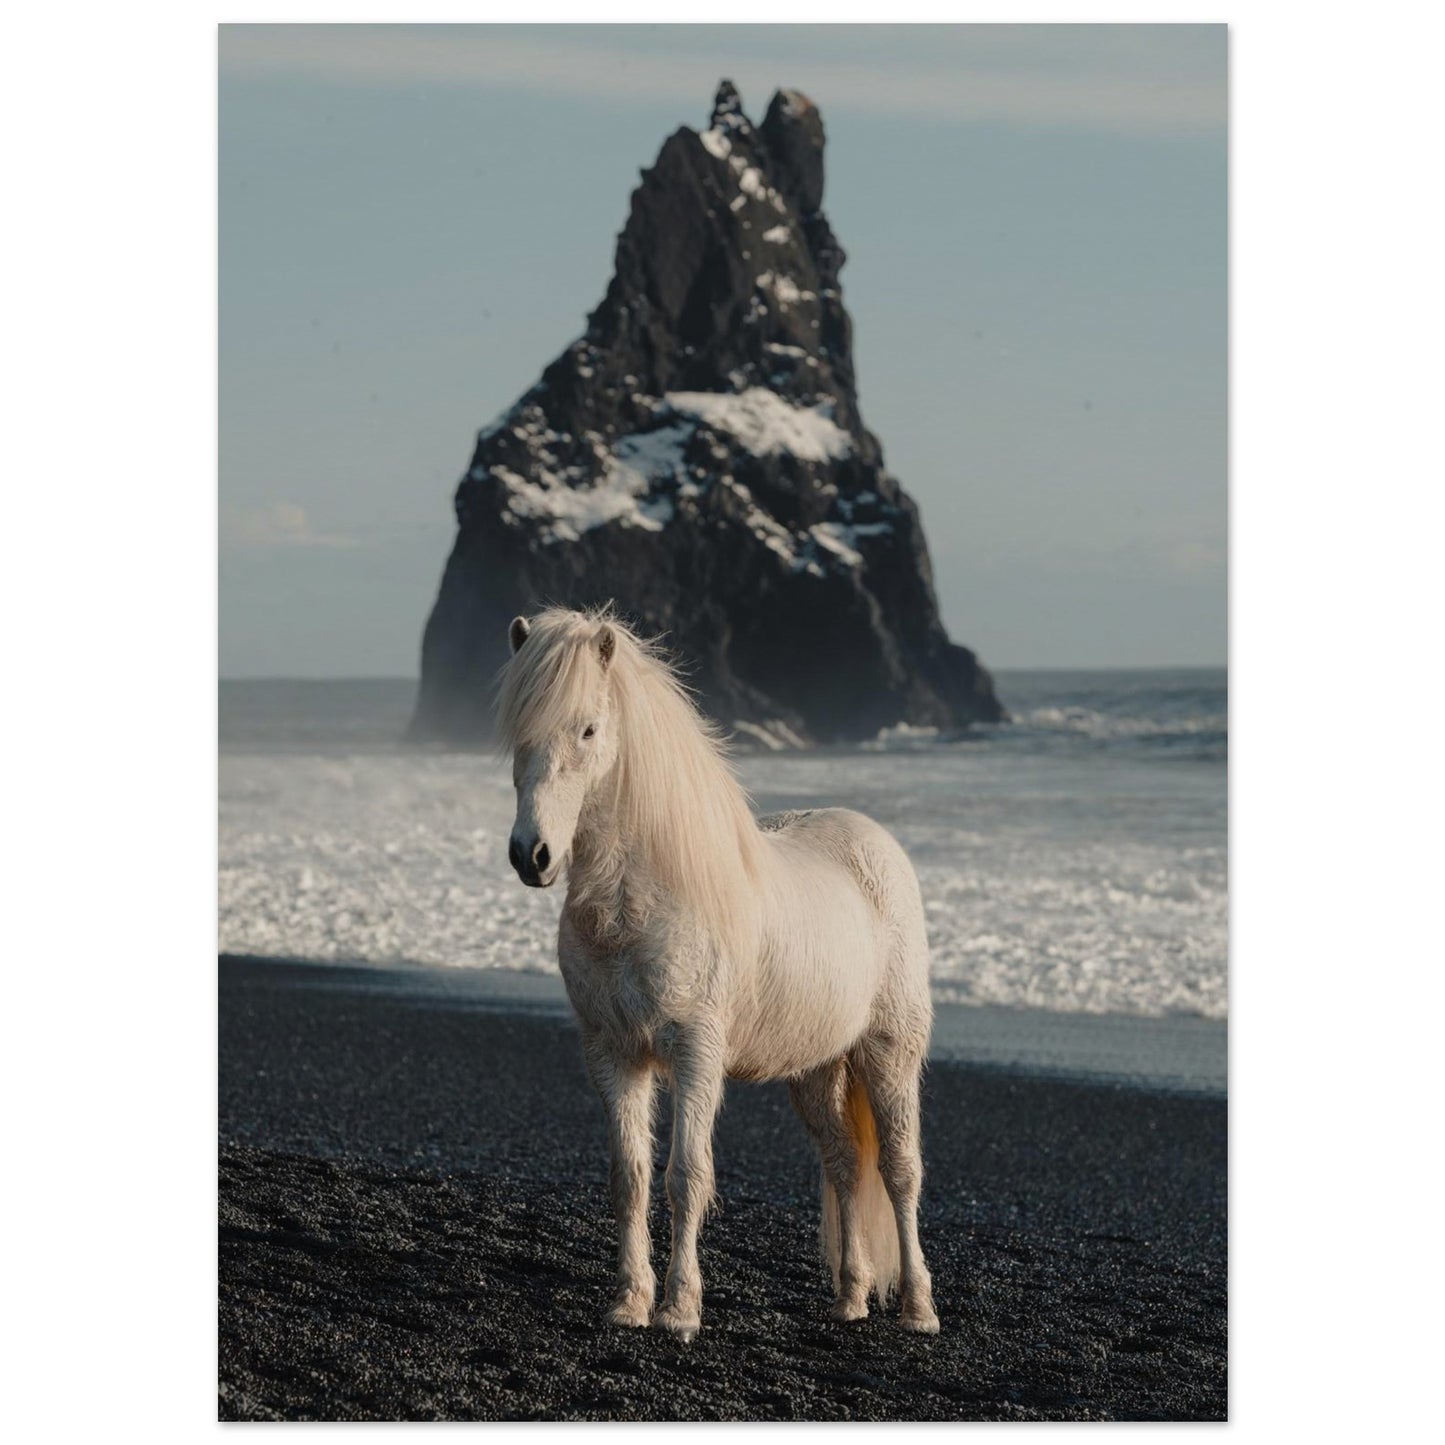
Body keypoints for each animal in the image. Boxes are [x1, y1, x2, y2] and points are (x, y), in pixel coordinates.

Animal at [497, 606, 939, 1341]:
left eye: (587, 729)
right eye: (515, 732)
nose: (532, 855)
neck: (643, 900)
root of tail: (874, 842)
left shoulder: (695, 1052)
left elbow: (685, 1175)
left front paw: (679, 1310)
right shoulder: (613, 1053)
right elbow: (631, 1177)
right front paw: (630, 1303)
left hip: (887, 1052)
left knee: (900, 1172)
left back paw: (917, 1309)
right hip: (815, 1068)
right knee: (845, 1163)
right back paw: (849, 1298)